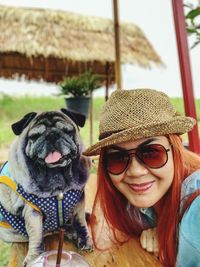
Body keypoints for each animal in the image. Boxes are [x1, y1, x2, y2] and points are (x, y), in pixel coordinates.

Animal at [0, 108, 92, 266]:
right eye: (35, 136)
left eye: (67, 131)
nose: (52, 135)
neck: (56, 174)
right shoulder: (32, 212)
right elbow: (36, 235)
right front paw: (35, 256)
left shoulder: (79, 201)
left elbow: (80, 222)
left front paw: (84, 239)